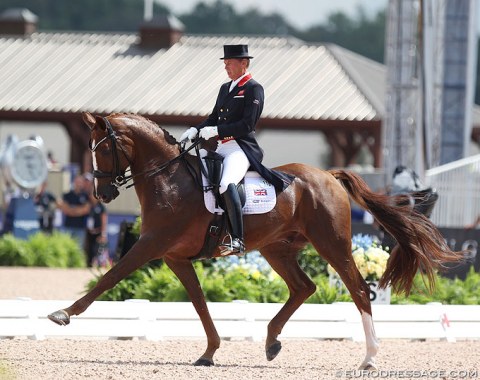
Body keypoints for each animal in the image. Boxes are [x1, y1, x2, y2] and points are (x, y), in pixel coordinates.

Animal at [47, 112, 462, 368]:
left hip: (331, 243)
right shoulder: (175, 257)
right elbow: (199, 302)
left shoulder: (151, 245)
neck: (168, 179)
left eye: (103, 148)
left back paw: (369, 358)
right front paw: (210, 352)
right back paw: (271, 341)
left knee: (359, 289)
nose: (102, 195)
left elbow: (109, 277)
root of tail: (328, 175)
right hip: (276, 248)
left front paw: (63, 313)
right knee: (304, 287)